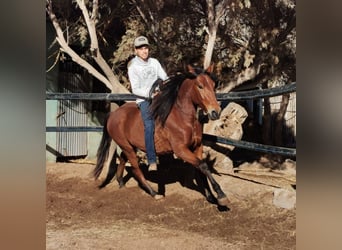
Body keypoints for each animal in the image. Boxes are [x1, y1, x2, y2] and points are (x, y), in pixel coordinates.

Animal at [93, 64, 230, 207]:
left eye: (213, 85)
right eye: (200, 86)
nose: (215, 112)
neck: (183, 117)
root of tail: (113, 115)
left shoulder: (197, 147)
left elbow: (201, 168)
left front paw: (211, 197)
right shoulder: (180, 150)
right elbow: (203, 165)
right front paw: (221, 195)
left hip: (130, 146)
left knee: (123, 159)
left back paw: (121, 183)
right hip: (127, 146)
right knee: (135, 168)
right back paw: (154, 193)